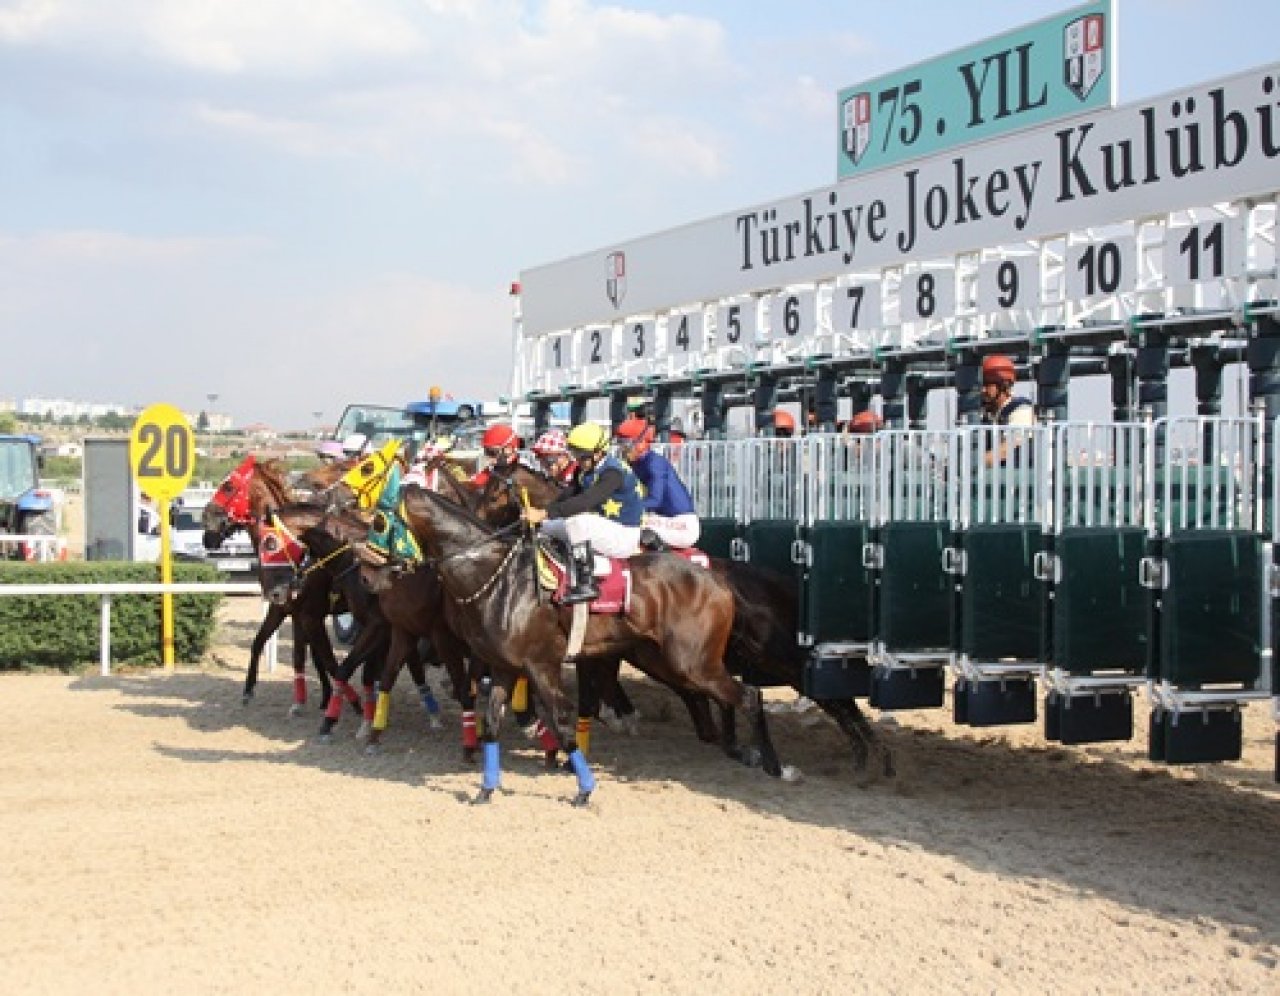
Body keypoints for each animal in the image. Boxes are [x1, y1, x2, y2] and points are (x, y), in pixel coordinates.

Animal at [373, 483, 783, 809]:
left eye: (378, 520)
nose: (375, 575)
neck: (497, 576)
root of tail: (717, 578)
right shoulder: (504, 666)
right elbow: (491, 723)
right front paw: (486, 789)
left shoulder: (541, 665)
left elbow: (563, 721)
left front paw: (584, 789)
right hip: (664, 660)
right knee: (731, 697)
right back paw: (742, 751)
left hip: (692, 663)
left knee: (749, 696)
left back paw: (772, 764)